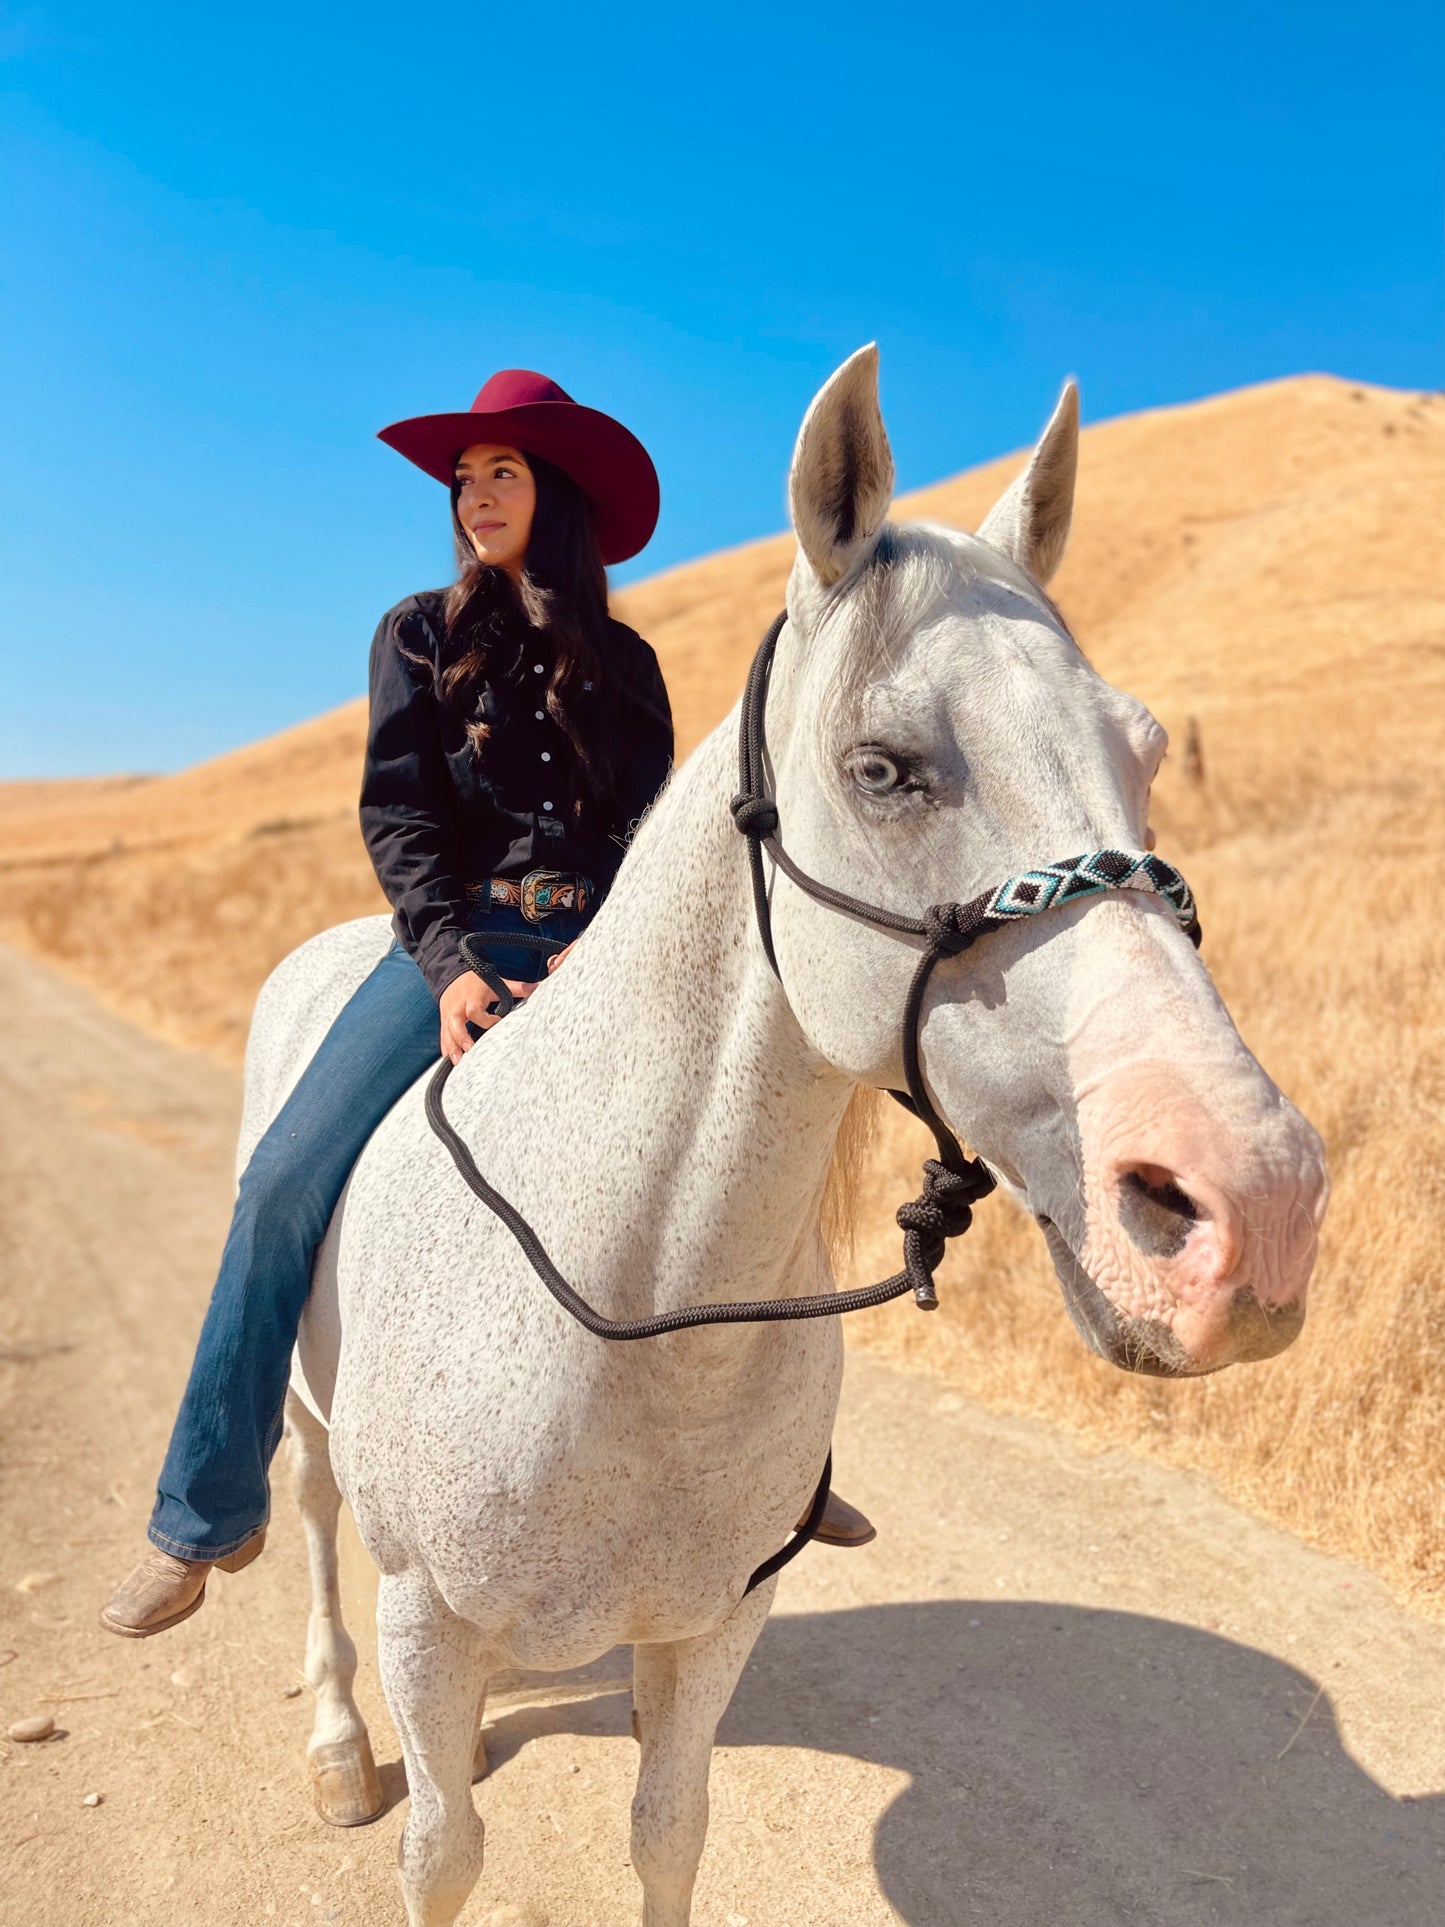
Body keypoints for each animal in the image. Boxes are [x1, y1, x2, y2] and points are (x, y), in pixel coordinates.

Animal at [240, 346, 1333, 1927]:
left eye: (1143, 750)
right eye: (881, 767)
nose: (1254, 1202)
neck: (639, 1316)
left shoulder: (714, 1624)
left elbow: (669, 1828)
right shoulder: (428, 1624)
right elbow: (441, 1851)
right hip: (317, 1445)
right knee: (313, 1518)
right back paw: (334, 1738)